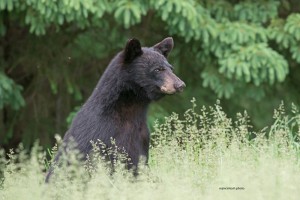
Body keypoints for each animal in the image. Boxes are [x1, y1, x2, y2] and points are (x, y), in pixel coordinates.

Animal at [45, 37, 185, 181]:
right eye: (157, 69)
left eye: (171, 68)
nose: (180, 85)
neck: (131, 109)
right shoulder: (106, 135)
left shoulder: (142, 137)